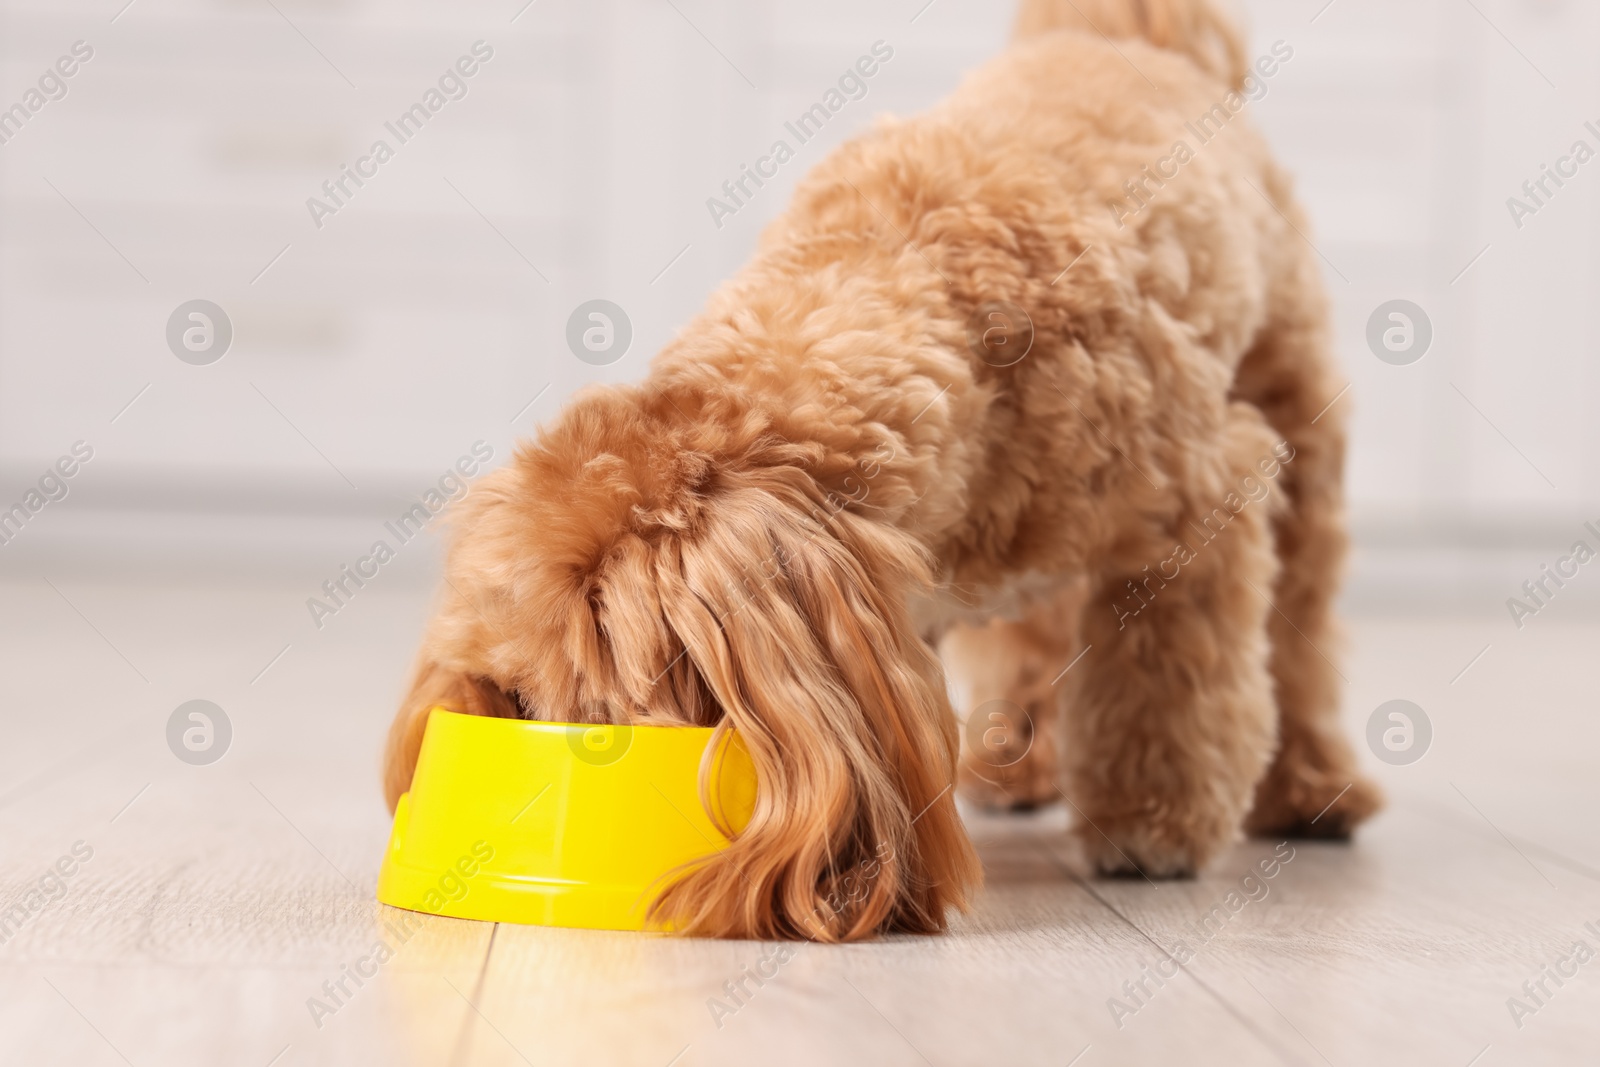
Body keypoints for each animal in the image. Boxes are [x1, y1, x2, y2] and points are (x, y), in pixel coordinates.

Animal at [380, 0, 1382, 940]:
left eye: (595, 704)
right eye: (510, 694)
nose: (528, 741)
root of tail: (1127, 41)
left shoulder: (1202, 505)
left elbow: (1170, 689)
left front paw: (1153, 823)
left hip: (1297, 427)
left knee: (1298, 634)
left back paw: (1310, 784)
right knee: (1037, 636)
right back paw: (1022, 765)